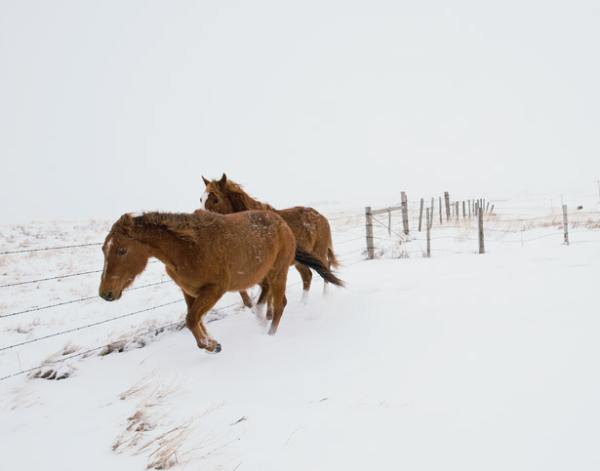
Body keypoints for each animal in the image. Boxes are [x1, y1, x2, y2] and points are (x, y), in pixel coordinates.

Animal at [98, 211, 342, 354]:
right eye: (103, 249)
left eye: (122, 250)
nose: (105, 293)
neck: (186, 248)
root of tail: (284, 225)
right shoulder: (189, 291)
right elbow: (194, 320)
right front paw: (212, 344)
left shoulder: (214, 289)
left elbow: (191, 319)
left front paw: (210, 345)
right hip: (263, 274)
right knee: (268, 300)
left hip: (277, 272)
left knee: (281, 304)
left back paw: (269, 336)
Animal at [202, 174, 340, 310]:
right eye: (201, 199)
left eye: (215, 200)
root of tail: (321, 217)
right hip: (300, 261)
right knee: (307, 276)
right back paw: (302, 304)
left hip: (318, 252)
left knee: (325, 268)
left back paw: (324, 295)